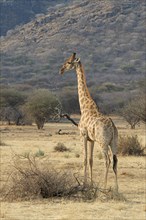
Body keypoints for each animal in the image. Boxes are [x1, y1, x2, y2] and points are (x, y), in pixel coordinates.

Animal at [60, 53, 118, 191]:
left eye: (69, 62)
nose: (61, 70)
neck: (84, 108)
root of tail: (112, 127)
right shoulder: (91, 139)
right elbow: (91, 160)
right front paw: (91, 184)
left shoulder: (83, 135)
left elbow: (85, 159)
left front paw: (84, 184)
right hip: (114, 142)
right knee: (115, 161)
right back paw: (117, 188)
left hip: (103, 142)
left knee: (107, 160)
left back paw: (105, 186)